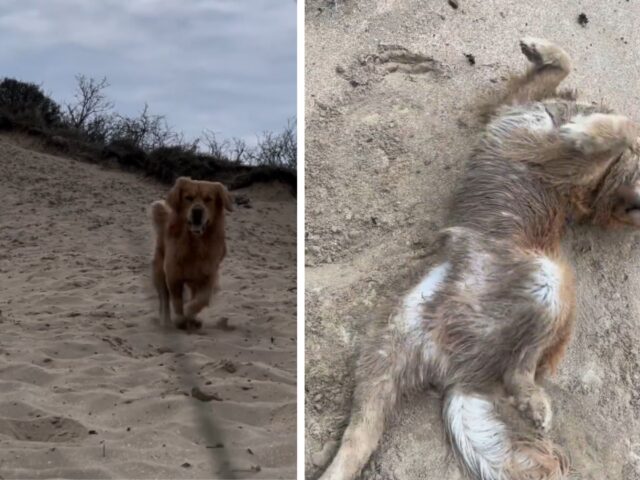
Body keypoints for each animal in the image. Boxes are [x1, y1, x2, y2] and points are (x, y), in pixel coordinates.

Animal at [150, 176, 232, 330]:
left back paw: (193, 319)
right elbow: (176, 301)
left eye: (208, 199)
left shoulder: (208, 275)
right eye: (188, 198)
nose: (197, 211)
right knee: (164, 299)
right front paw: (180, 318)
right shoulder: (173, 276)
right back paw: (166, 322)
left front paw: (189, 313)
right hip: (159, 271)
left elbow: (201, 300)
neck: (195, 244)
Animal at [320, 38, 640, 480]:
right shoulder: (515, 105)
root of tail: (464, 376)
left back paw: (533, 401)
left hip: (549, 281)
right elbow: (563, 70)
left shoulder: (559, 154)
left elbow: (622, 126)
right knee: (359, 437)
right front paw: (542, 52)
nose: (636, 205)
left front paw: (589, 130)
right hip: (392, 345)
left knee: (522, 368)